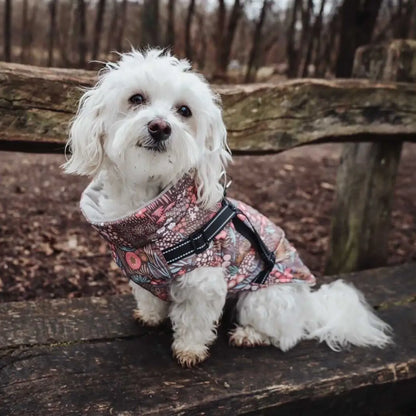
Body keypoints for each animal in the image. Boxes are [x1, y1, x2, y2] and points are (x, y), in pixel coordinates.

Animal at [63, 49, 392, 368]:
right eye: (136, 99)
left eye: (184, 111)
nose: (160, 127)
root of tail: (308, 303)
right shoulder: (145, 276)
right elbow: (149, 298)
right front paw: (151, 315)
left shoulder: (203, 280)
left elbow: (193, 320)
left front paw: (189, 350)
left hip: (261, 299)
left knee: (288, 334)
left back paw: (249, 335)